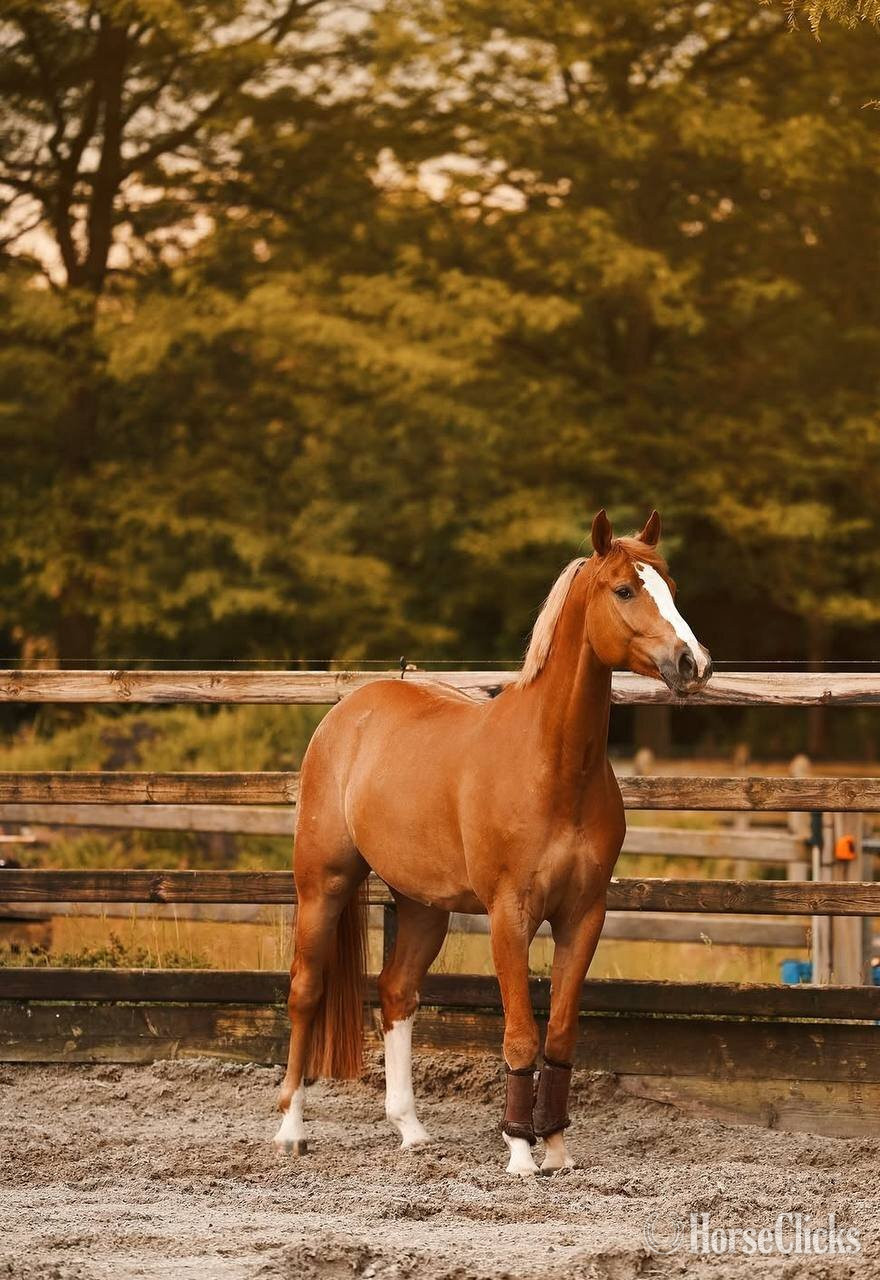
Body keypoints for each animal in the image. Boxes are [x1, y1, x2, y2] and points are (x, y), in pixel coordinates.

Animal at [274, 509, 712, 1174]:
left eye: (672, 588)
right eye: (624, 590)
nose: (693, 663)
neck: (552, 766)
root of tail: (348, 713)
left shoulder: (585, 914)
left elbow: (560, 1031)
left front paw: (555, 1147)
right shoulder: (510, 915)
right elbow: (521, 1033)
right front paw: (521, 1152)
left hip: (422, 905)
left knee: (396, 992)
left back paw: (411, 1131)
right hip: (323, 883)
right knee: (306, 991)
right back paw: (290, 1130)